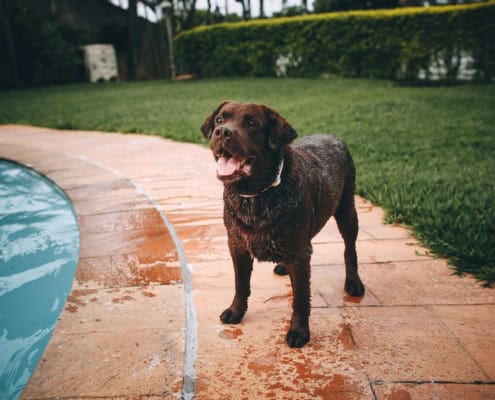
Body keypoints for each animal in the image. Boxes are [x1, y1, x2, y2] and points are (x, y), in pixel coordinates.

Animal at [200, 102, 366, 346]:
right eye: (220, 120)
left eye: (252, 123)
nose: (222, 132)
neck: (256, 195)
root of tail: (331, 136)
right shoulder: (237, 245)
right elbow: (241, 284)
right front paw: (236, 311)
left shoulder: (300, 254)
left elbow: (301, 298)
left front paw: (299, 331)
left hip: (347, 211)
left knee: (350, 249)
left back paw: (353, 282)